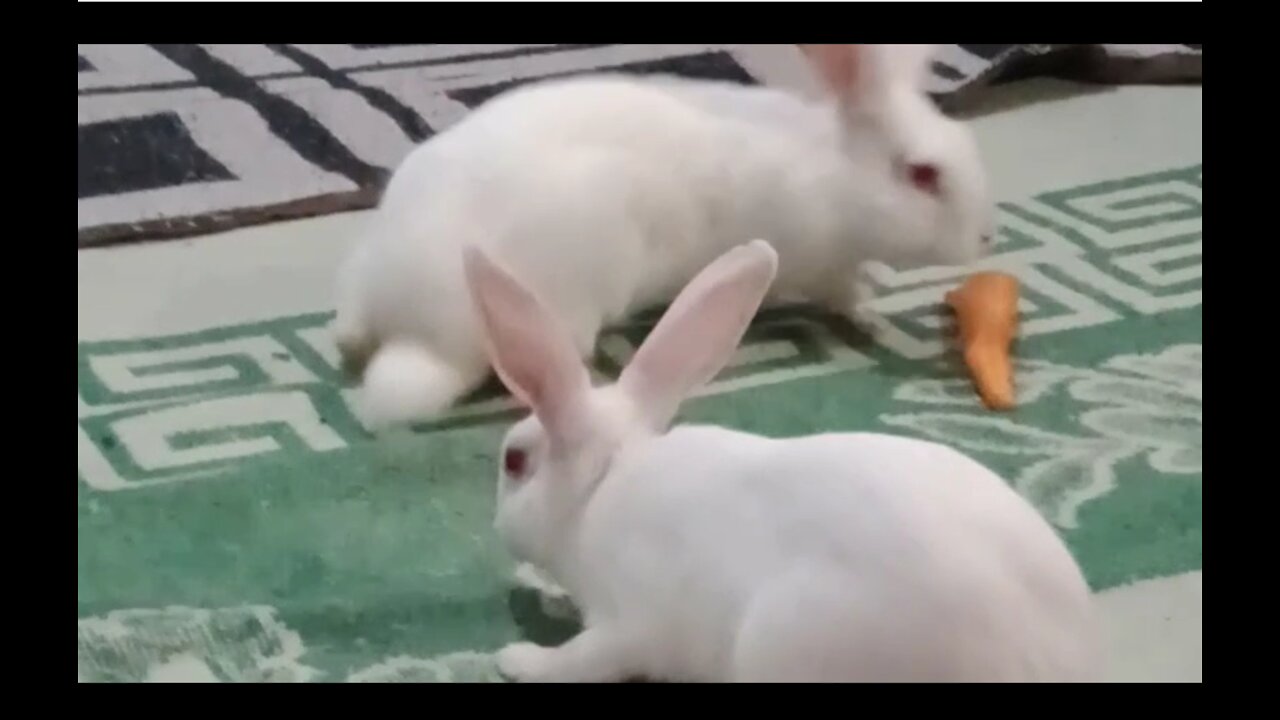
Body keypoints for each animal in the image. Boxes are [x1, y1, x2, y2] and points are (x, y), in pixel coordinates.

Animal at [335, 44, 993, 425]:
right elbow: (841, 293)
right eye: (924, 175)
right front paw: (871, 318)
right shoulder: (817, 262)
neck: (836, 173)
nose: (985, 239)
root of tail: (414, 331)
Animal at [465, 238, 1095, 681]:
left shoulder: (628, 624)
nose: (496, 527)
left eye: (514, 461)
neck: (600, 483)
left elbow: (582, 659)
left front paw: (517, 659)